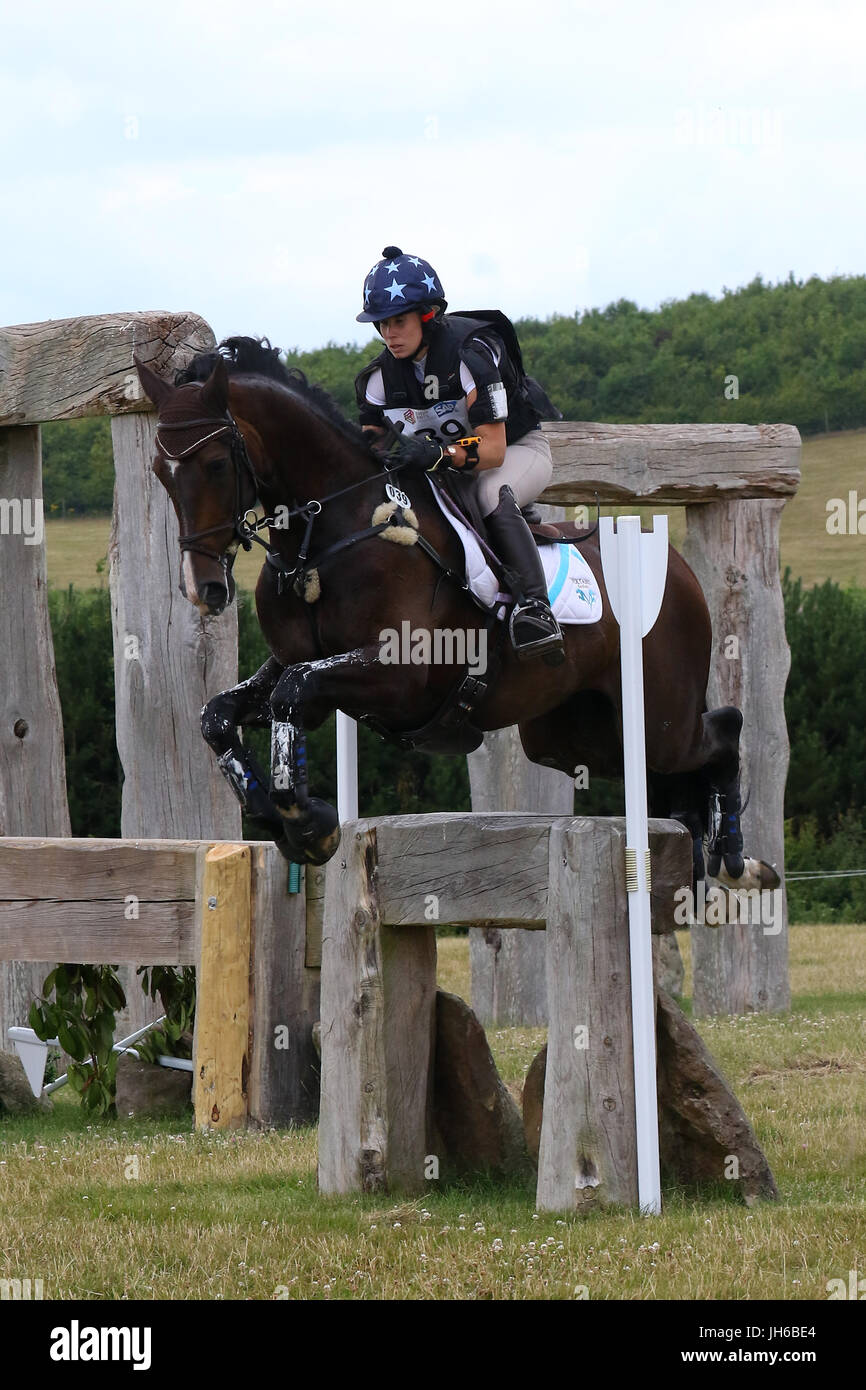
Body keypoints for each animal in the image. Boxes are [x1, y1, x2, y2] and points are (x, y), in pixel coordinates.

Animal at [136, 333, 778, 889]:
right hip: (573, 735)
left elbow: (292, 693)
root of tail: (681, 572)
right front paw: (287, 822)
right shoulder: (300, 661)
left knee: (722, 730)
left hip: (657, 717)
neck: (326, 537)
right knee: (668, 772)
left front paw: (308, 821)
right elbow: (220, 714)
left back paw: (739, 859)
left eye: (217, 464)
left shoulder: (400, 675)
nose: (203, 589)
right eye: (160, 473)